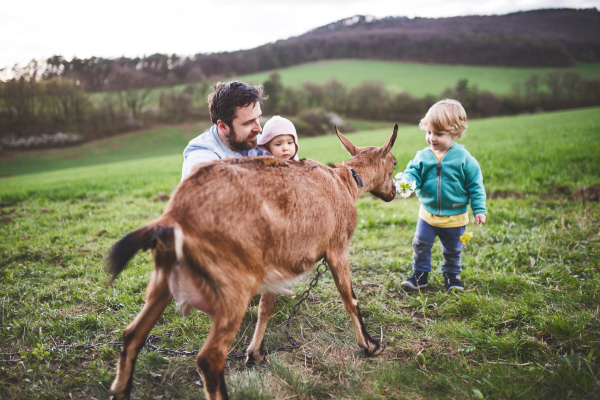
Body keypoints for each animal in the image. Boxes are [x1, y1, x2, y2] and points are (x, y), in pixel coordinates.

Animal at [108, 126, 398, 400]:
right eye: (394, 162)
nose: (394, 192)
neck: (345, 181)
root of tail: (174, 217)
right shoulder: (338, 248)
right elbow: (350, 299)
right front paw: (370, 346)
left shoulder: (272, 264)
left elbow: (265, 308)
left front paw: (255, 353)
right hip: (233, 285)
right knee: (209, 358)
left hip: (163, 279)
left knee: (132, 336)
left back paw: (120, 390)